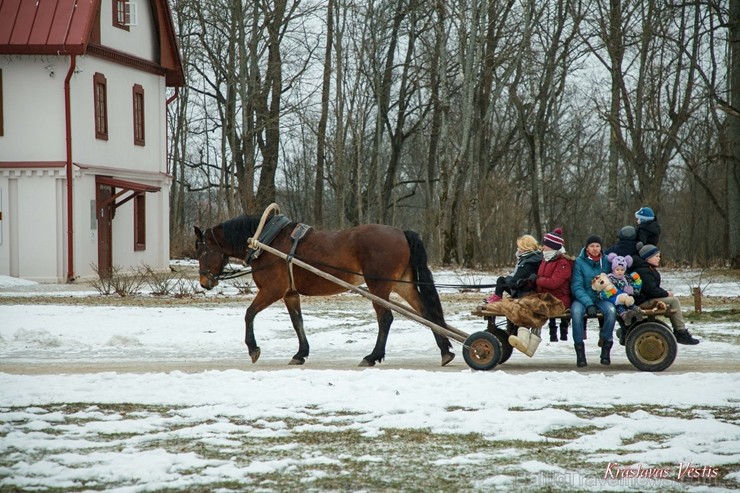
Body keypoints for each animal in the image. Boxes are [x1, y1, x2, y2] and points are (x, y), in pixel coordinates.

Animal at [194, 214, 454, 366]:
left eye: (202, 250)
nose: (205, 282)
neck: (267, 242)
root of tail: (401, 232)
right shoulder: (289, 294)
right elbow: (297, 322)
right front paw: (300, 353)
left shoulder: (272, 290)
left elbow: (249, 314)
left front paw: (253, 348)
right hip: (402, 284)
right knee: (427, 314)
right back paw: (445, 351)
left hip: (378, 286)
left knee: (386, 319)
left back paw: (372, 356)